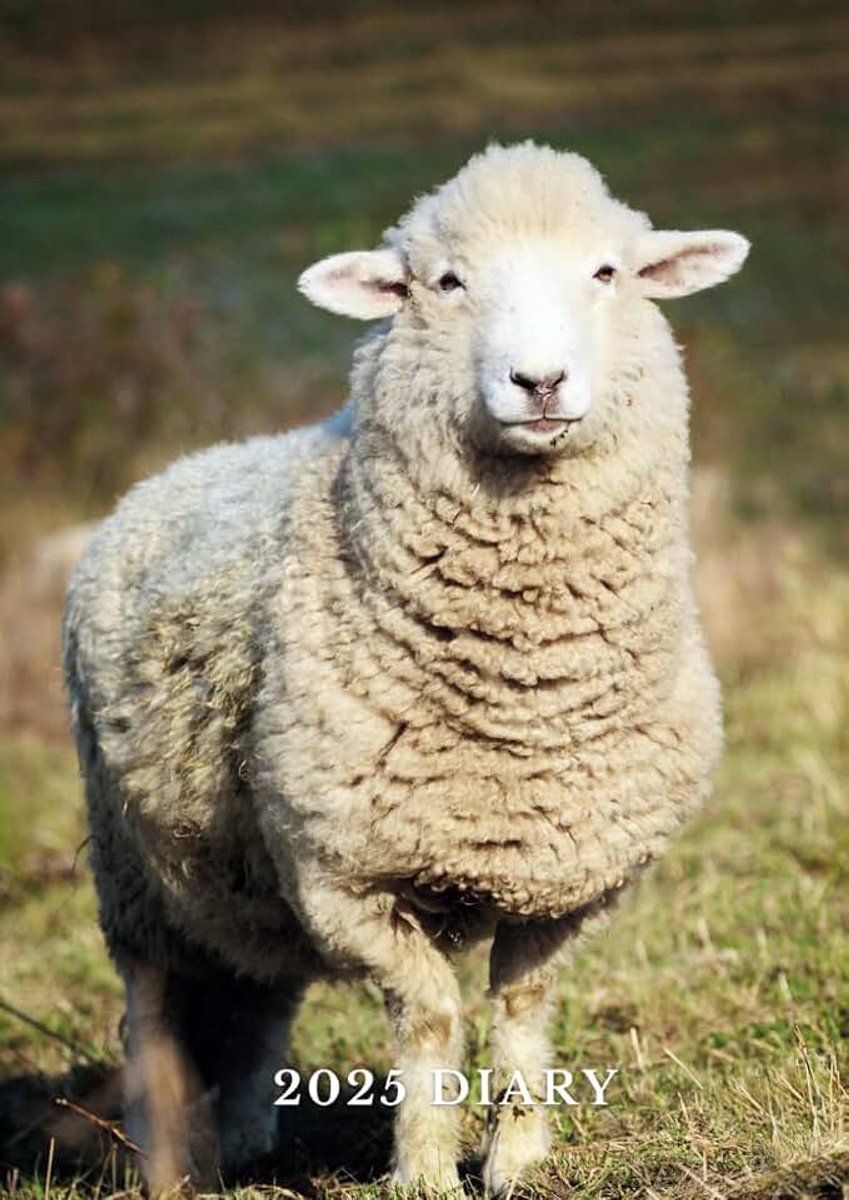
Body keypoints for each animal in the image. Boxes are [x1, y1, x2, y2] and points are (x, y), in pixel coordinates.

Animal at [62, 140, 749, 1196]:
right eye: (446, 283)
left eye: (607, 272)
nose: (538, 381)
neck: (521, 699)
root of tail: (167, 473)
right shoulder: (342, 873)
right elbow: (428, 1019)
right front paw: (425, 1172)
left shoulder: (570, 877)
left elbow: (522, 1012)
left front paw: (517, 1162)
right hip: (132, 871)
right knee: (155, 1025)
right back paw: (174, 1165)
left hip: (244, 888)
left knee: (259, 1004)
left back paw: (255, 1140)